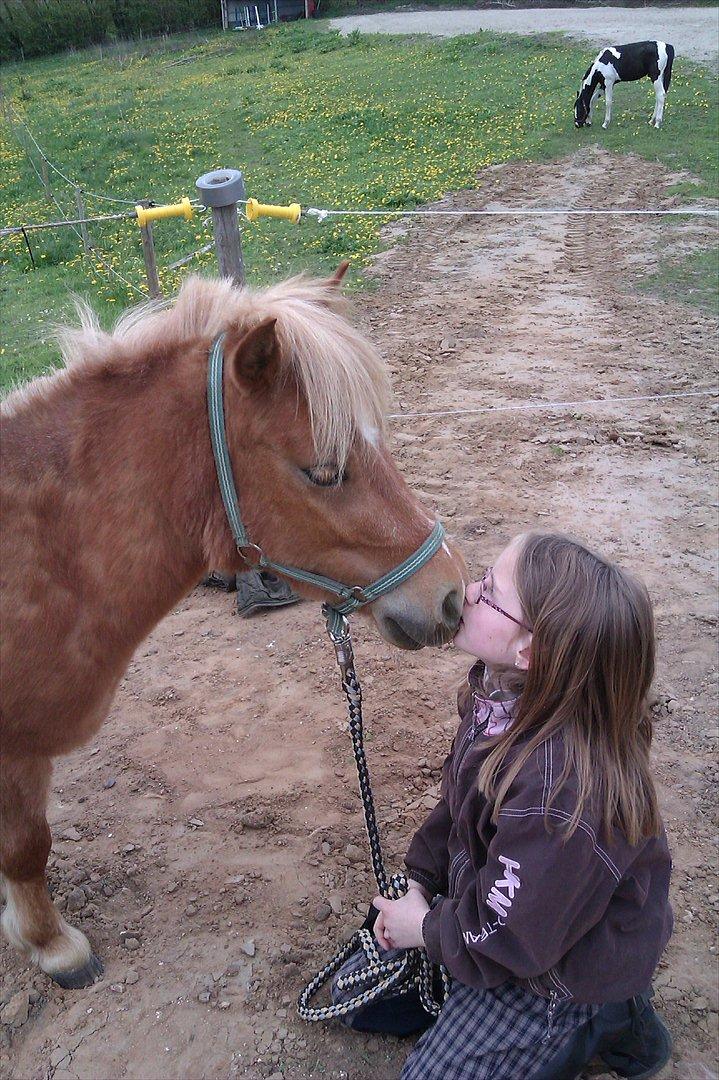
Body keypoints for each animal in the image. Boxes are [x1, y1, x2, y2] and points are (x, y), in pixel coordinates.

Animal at [1, 267, 464, 989]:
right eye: (323, 471)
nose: (450, 595)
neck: (39, 554)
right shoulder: (17, 751)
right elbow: (27, 845)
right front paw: (53, 945)